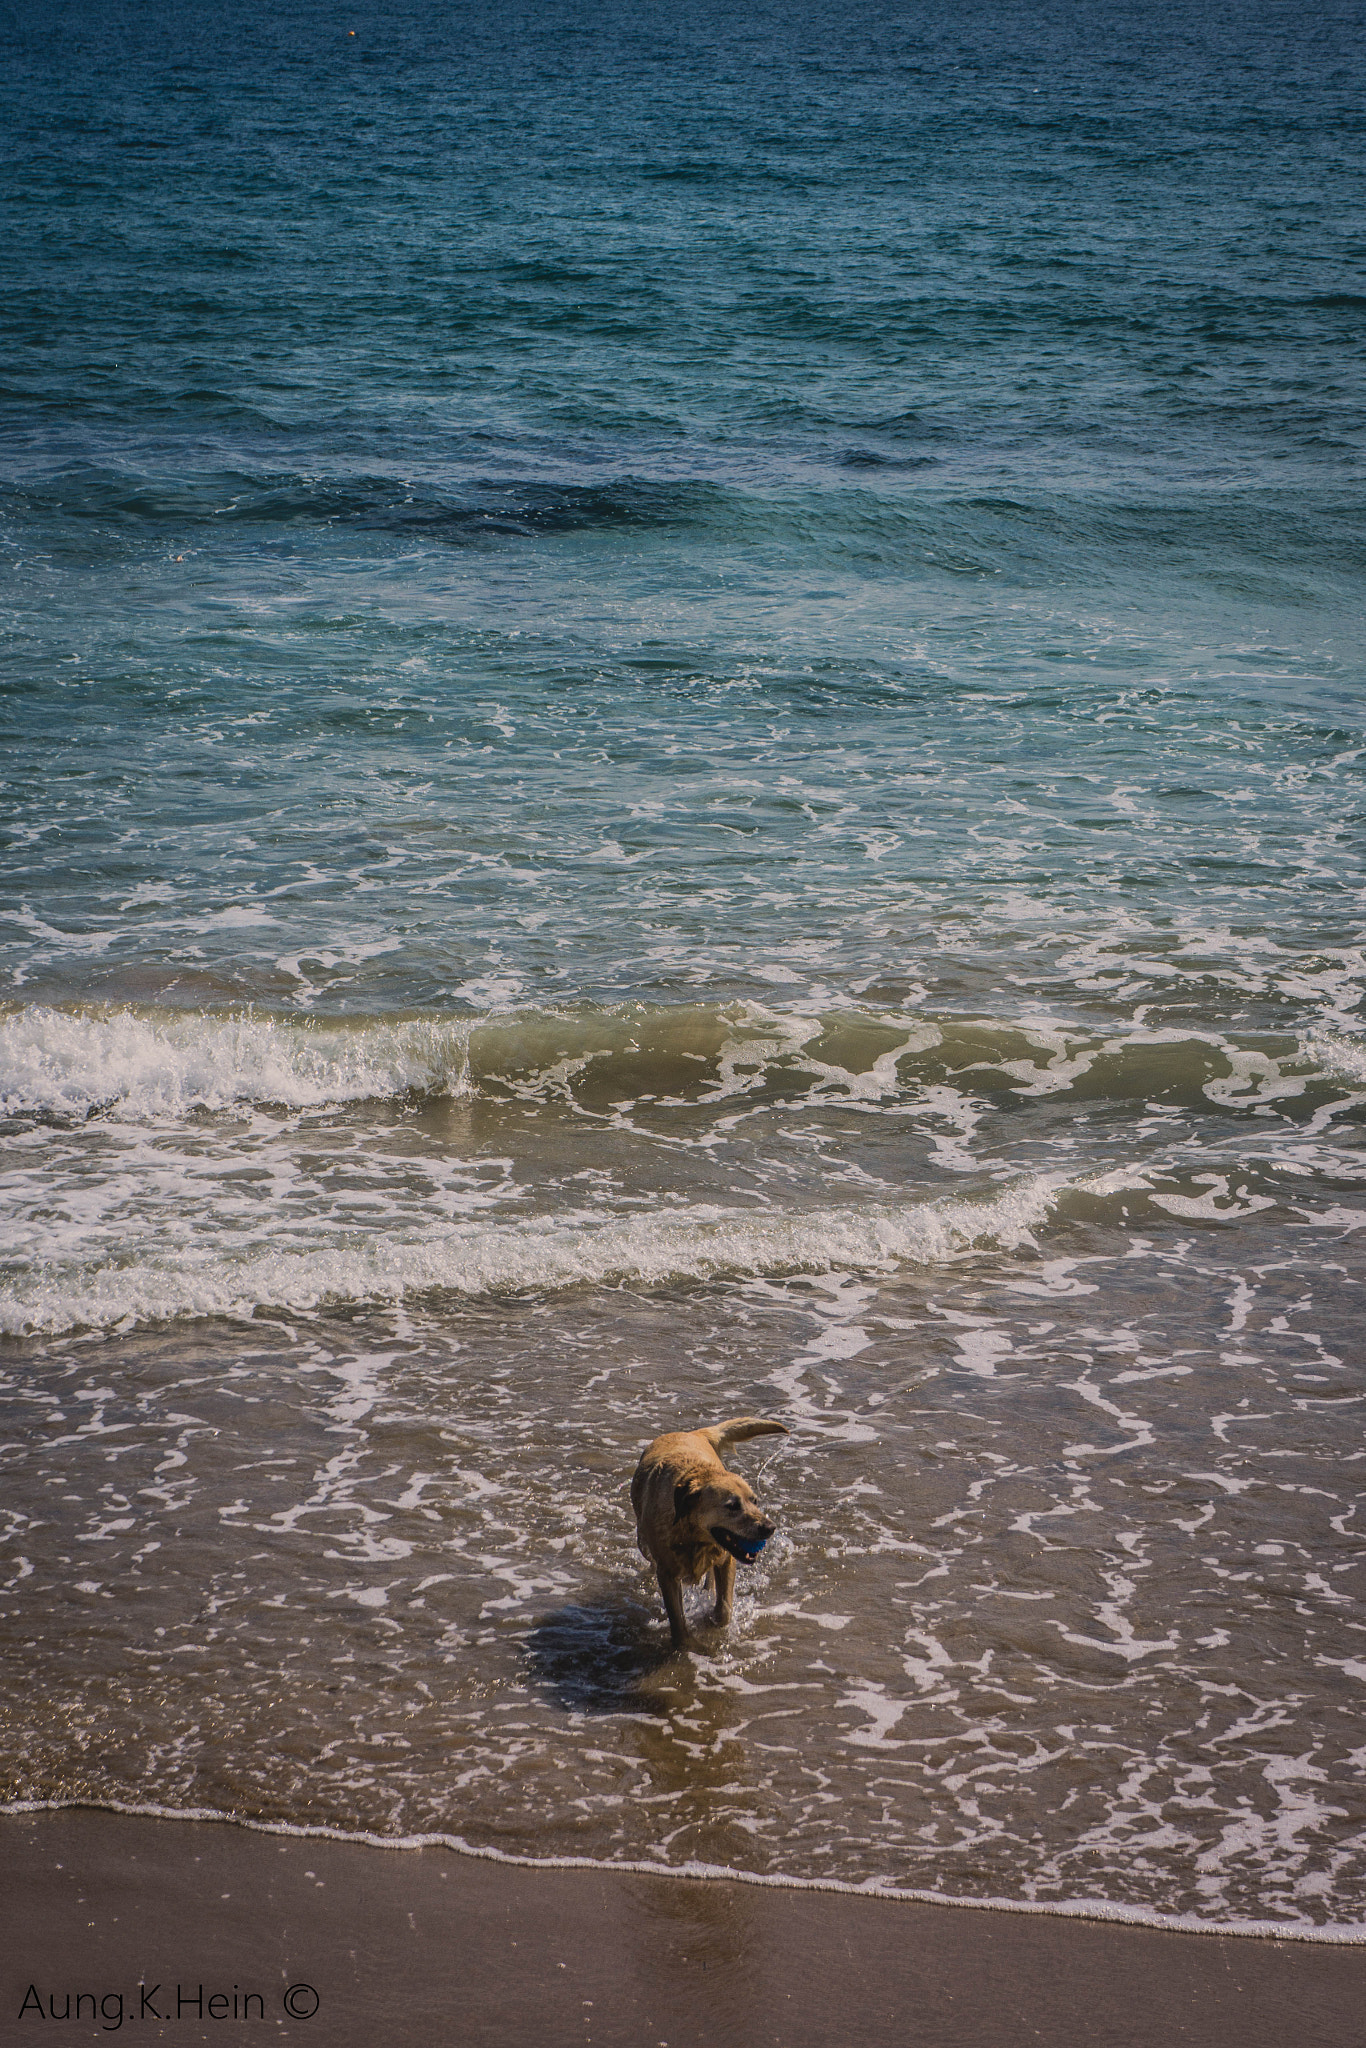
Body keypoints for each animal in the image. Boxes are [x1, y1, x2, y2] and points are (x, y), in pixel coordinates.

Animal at [634, 1425, 790, 1646]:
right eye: (732, 1506)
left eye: (754, 1501)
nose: (770, 1527)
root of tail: (693, 1432)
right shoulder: (667, 1573)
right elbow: (677, 1618)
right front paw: (684, 1645)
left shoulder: (726, 1559)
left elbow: (724, 1607)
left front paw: (712, 1620)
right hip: (643, 1542)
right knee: (650, 1558)